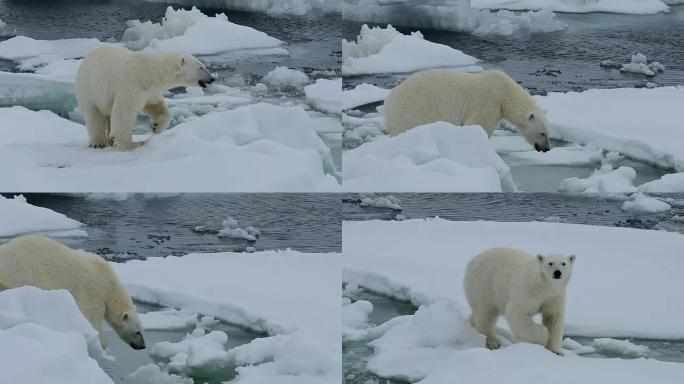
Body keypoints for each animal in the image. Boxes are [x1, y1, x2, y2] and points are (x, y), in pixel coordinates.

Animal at [0, 236, 147, 350]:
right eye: (137, 332)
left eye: (142, 330)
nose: (143, 346)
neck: (109, 285)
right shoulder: (93, 293)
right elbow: (90, 317)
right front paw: (101, 343)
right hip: (26, 271)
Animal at [74, 45, 214, 151]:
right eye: (201, 67)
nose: (212, 78)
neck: (149, 73)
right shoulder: (131, 85)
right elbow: (124, 113)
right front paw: (131, 144)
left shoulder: (149, 91)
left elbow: (156, 105)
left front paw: (156, 127)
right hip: (89, 88)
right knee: (94, 115)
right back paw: (99, 142)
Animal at [382, 68, 552, 152]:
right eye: (542, 133)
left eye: (548, 133)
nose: (547, 149)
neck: (504, 93)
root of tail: (388, 101)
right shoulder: (487, 103)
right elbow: (478, 125)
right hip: (414, 110)